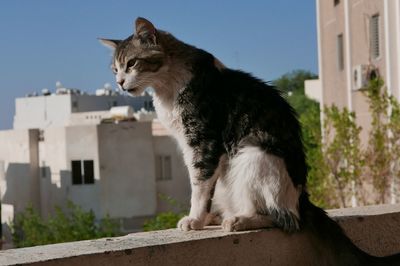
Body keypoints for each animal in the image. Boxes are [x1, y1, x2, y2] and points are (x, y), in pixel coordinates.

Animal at [100, 17, 400, 264]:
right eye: (114, 69)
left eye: (132, 63)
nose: (119, 83)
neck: (165, 88)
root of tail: (303, 199)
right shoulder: (188, 146)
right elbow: (201, 185)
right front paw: (202, 217)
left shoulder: (204, 141)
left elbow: (199, 185)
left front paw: (194, 219)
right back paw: (222, 215)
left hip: (253, 154)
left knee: (284, 219)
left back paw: (238, 220)